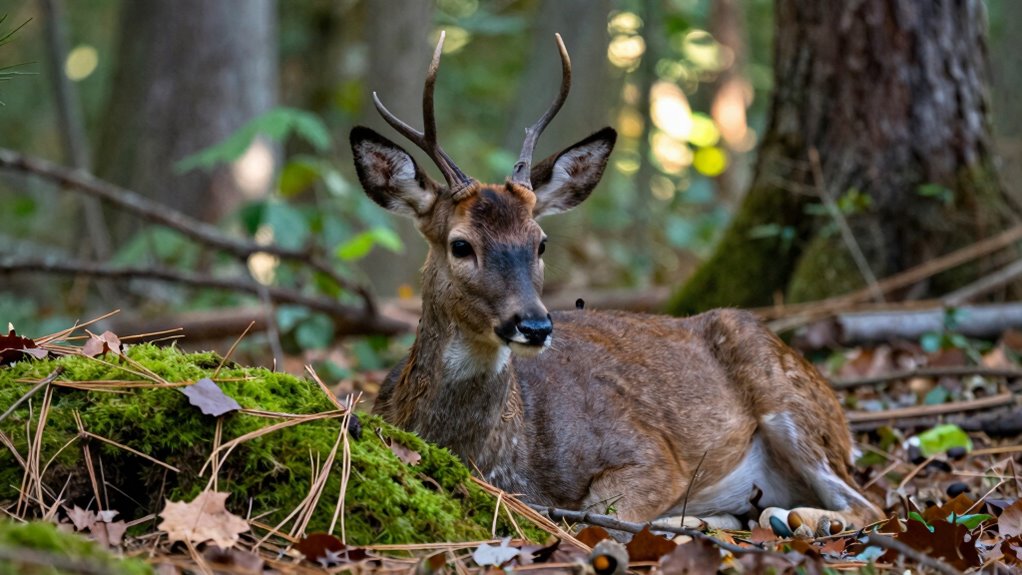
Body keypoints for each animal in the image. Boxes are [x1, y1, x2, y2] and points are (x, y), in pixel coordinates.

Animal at [349, 32, 883, 537]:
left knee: (868, 503)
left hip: (795, 404)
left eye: (541, 242)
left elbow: (599, 515)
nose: (535, 326)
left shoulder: (652, 453)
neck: (499, 457)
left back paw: (795, 519)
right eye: (460, 245)